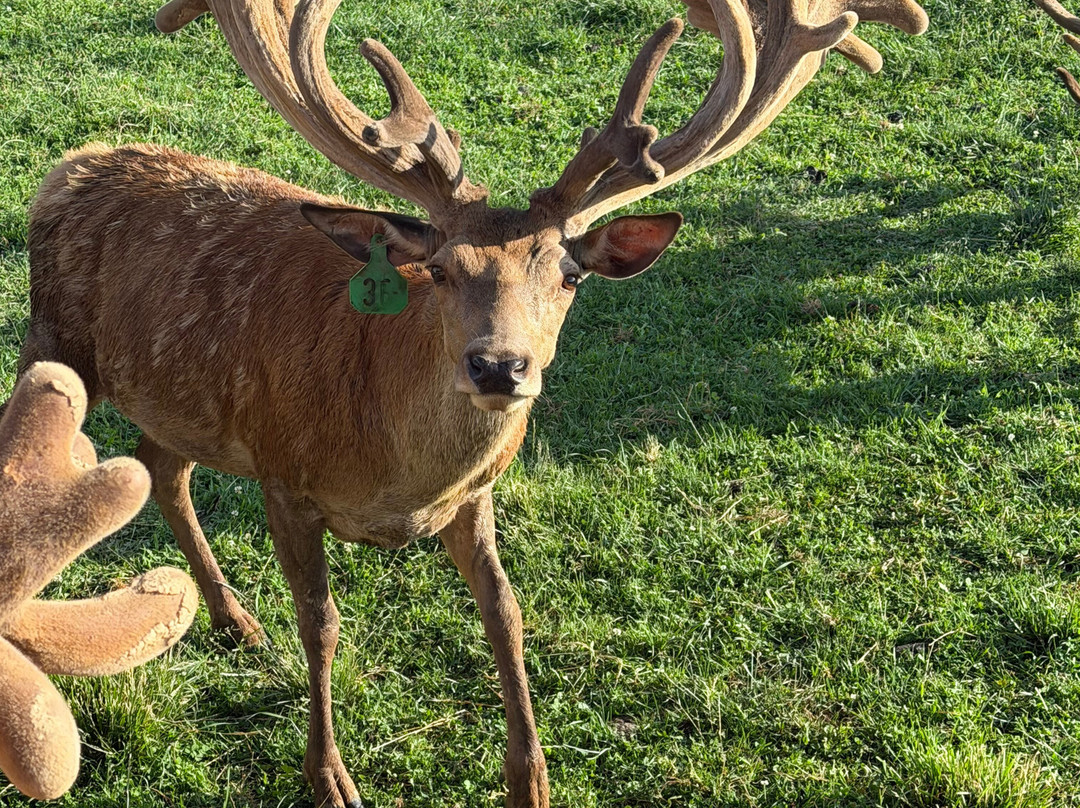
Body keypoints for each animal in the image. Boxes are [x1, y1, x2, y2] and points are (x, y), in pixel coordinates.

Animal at [15, 0, 928, 805]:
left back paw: (234, 619)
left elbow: (506, 613)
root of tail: (72, 162)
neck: (392, 472)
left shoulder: (472, 495)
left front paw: (533, 779)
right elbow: (322, 622)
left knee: (160, 467)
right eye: (443, 268)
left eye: (570, 273)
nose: (499, 367)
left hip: (177, 401)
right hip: (52, 340)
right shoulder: (284, 475)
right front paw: (330, 778)